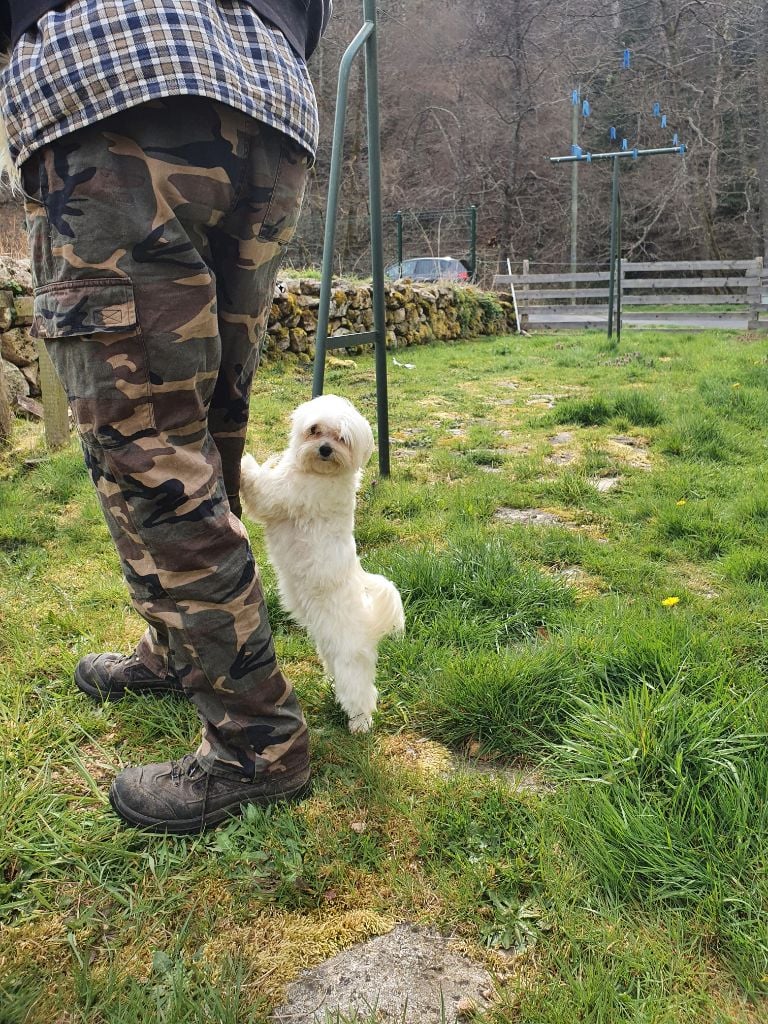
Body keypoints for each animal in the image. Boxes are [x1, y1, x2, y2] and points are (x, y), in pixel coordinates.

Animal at [243, 387, 405, 733]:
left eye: (342, 438)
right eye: (314, 429)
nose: (325, 449)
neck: (318, 473)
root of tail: (370, 621)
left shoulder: (278, 496)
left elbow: (259, 487)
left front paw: (243, 462)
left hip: (349, 662)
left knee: (362, 694)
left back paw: (360, 724)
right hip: (329, 648)